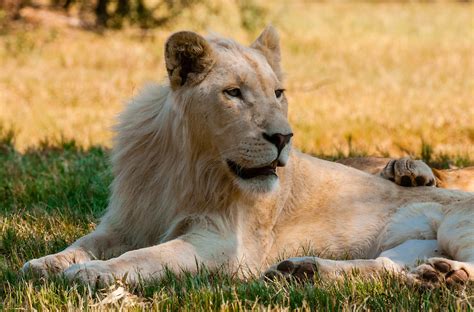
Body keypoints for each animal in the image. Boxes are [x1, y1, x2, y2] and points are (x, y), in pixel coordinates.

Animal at [24, 26, 474, 288]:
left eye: (278, 93)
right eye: (234, 93)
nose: (283, 137)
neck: (187, 164)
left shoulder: (222, 244)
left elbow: (149, 255)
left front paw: (93, 274)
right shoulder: (124, 223)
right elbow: (84, 243)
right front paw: (46, 264)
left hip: (456, 226)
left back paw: (449, 275)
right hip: (408, 247)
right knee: (386, 268)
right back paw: (309, 271)